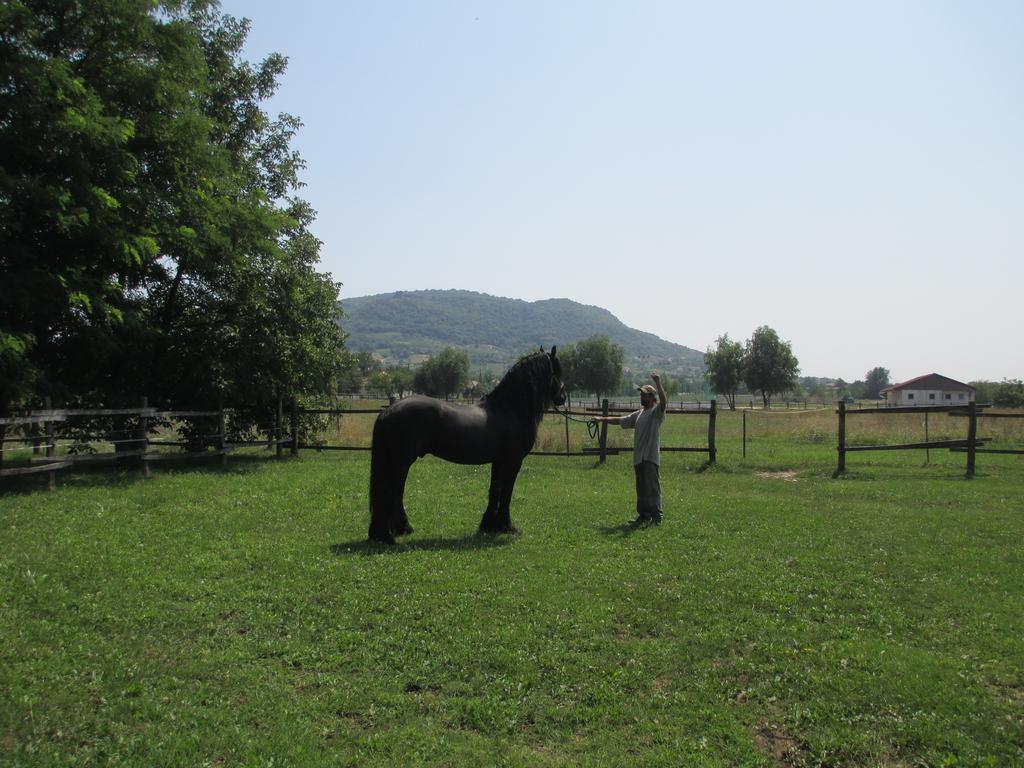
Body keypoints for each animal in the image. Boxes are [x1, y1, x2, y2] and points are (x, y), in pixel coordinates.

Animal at [370, 346, 569, 544]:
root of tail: (389, 411)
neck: (510, 408)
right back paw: (388, 534)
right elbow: (506, 493)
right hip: (400, 462)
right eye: (557, 371)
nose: (563, 397)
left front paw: (488, 526)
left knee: (395, 492)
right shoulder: (513, 461)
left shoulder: (498, 461)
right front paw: (507, 527)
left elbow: (495, 490)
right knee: (390, 491)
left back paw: (400, 529)